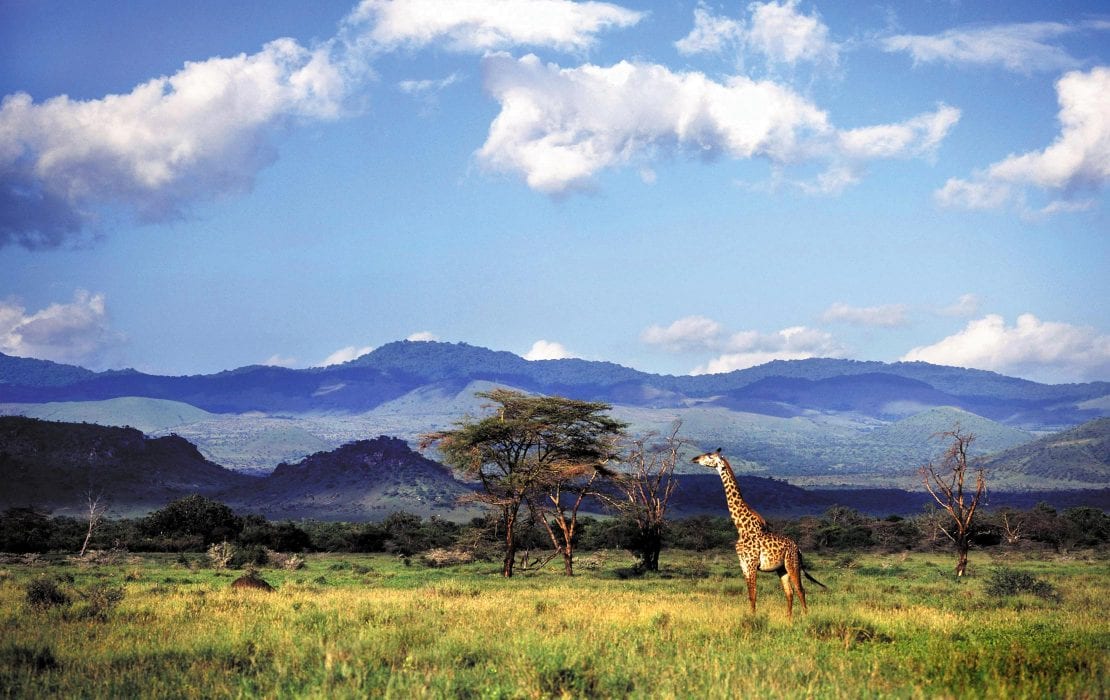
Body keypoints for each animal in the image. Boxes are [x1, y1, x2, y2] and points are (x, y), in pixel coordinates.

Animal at [692, 448, 825, 616]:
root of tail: (798, 549)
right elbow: (750, 595)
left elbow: (753, 594)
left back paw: (805, 617)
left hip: (792, 564)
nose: (695, 459)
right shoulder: (743, 565)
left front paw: (753, 618)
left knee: (801, 590)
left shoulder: (751, 564)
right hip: (781, 569)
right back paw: (789, 619)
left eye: (709, 456)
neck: (742, 527)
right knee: (789, 592)